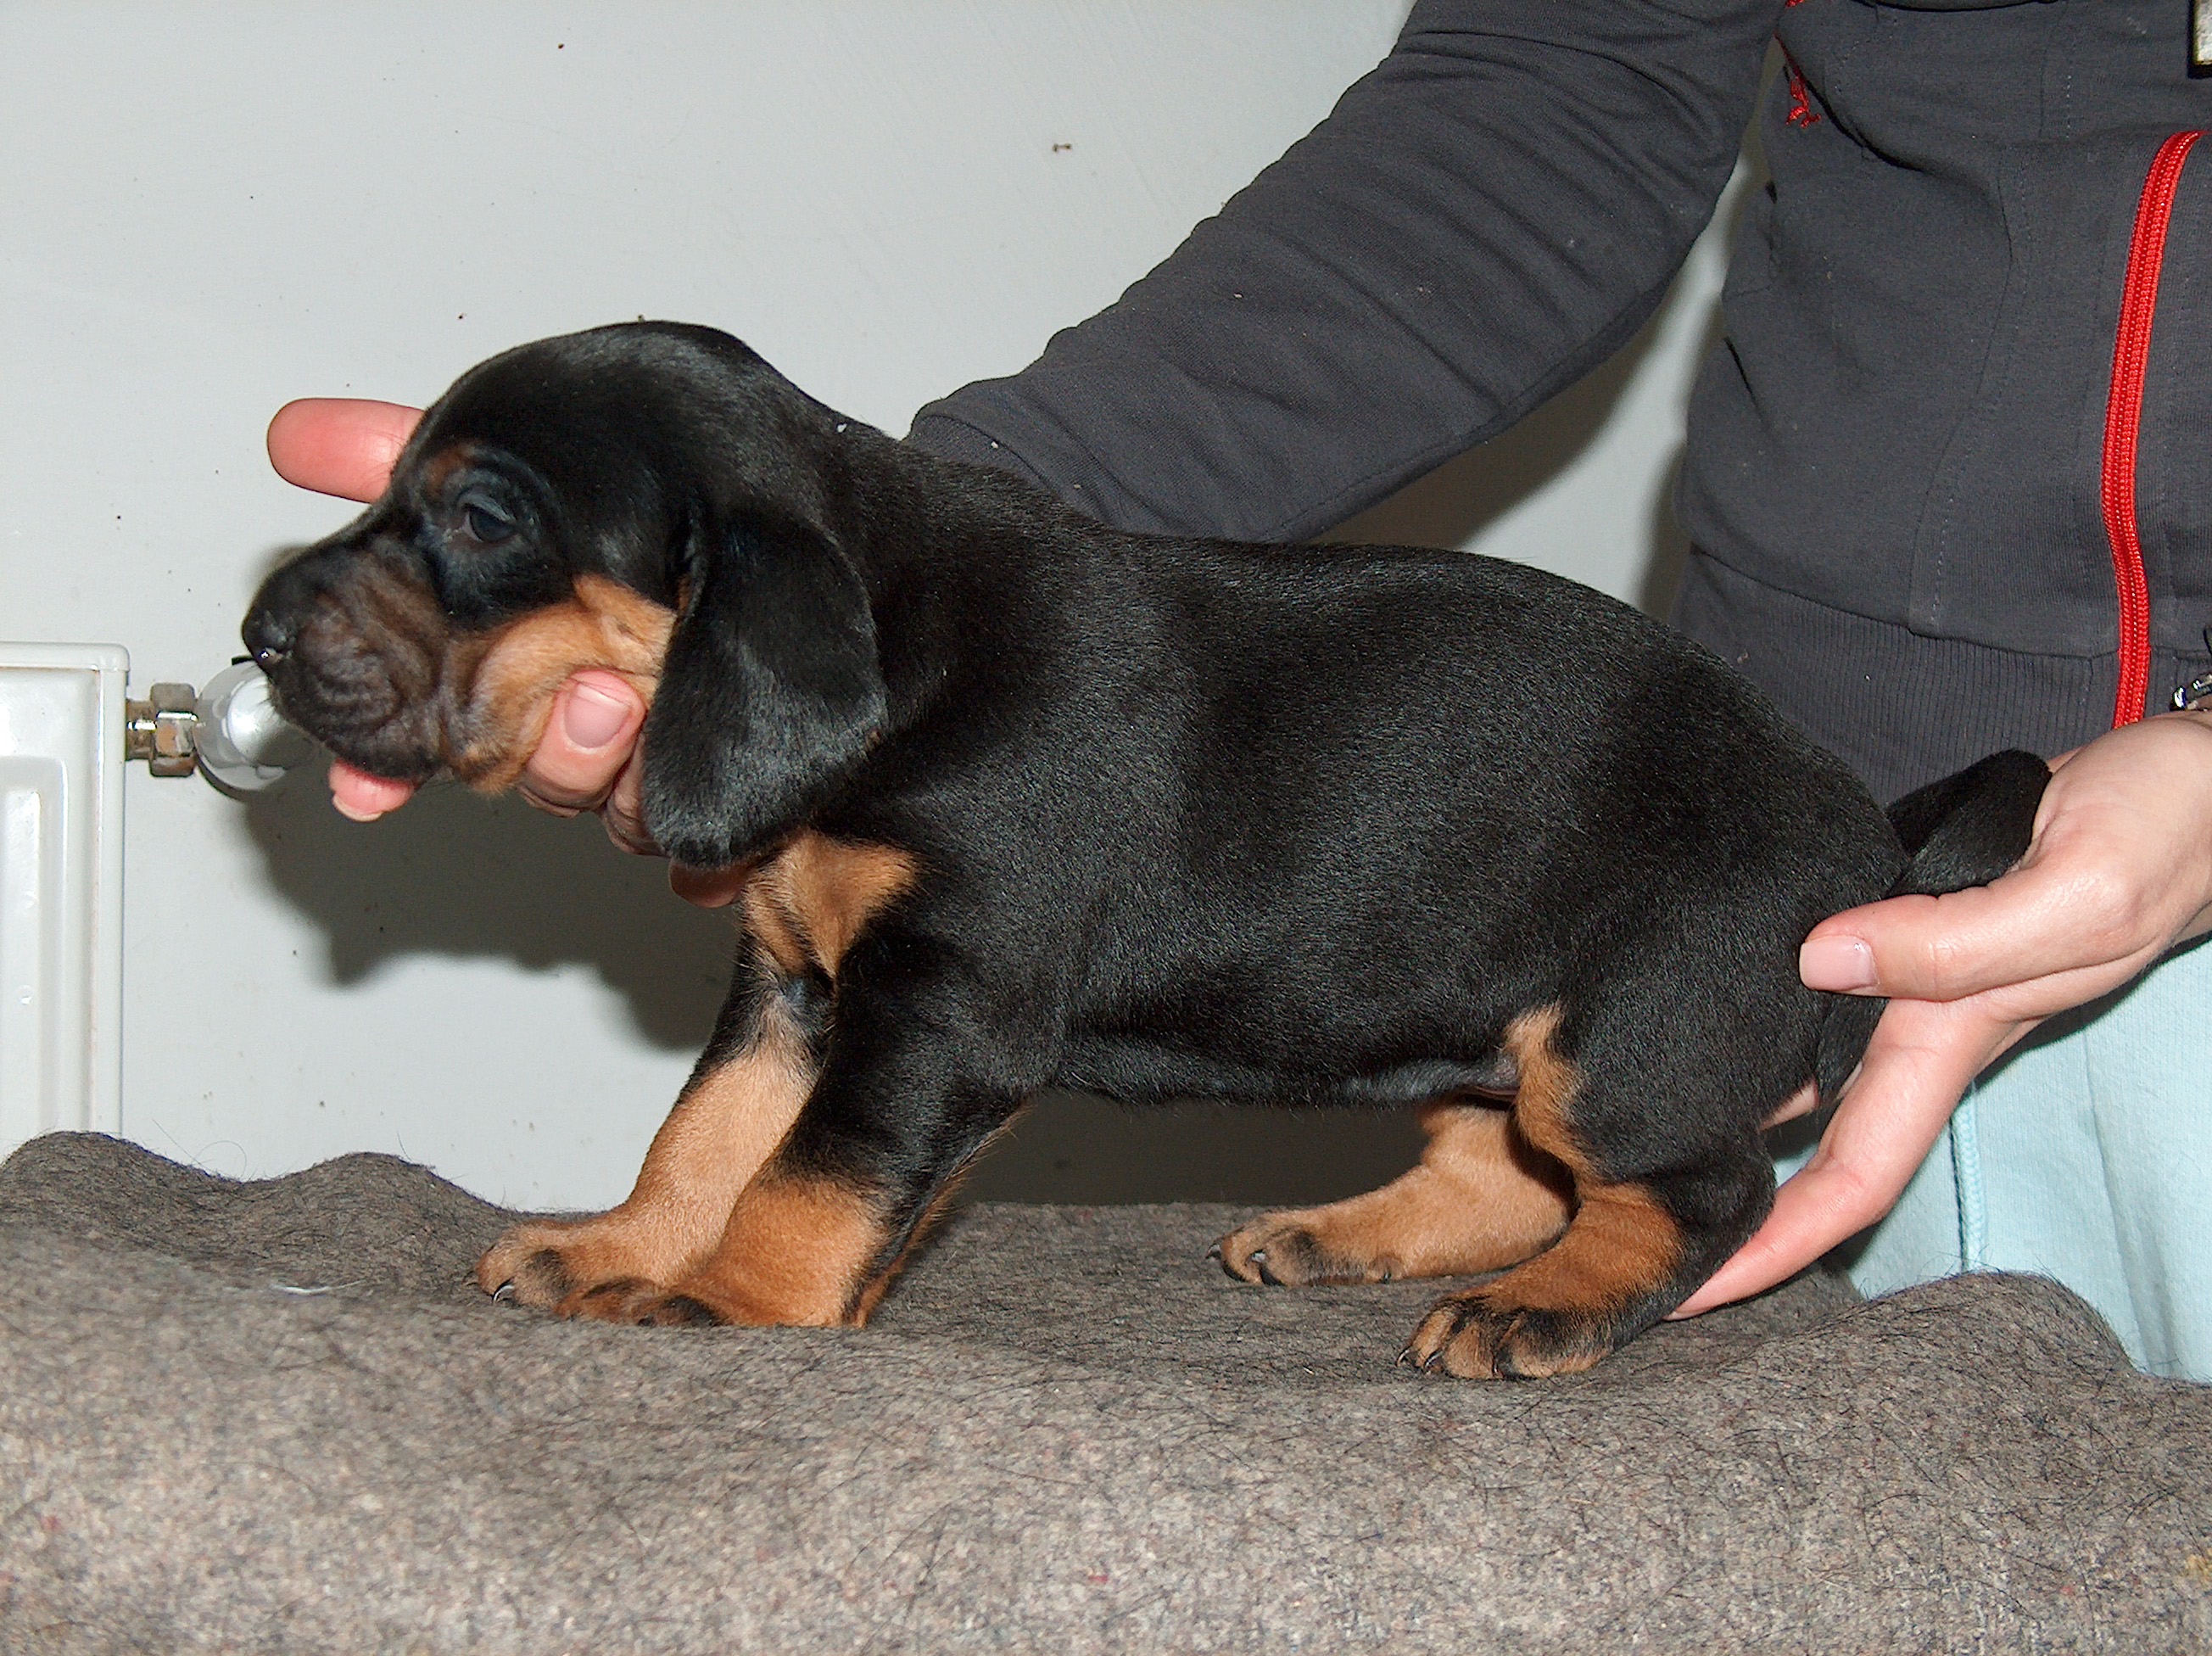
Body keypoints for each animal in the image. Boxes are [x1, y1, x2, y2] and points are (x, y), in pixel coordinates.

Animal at [237, 321, 2035, 1372]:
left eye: (480, 517)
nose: (257, 628)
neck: (902, 658)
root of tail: (1860, 833)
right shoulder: (796, 986)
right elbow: (705, 1137)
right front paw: (613, 1247)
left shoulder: (937, 1003)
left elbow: (813, 1173)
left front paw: (734, 1307)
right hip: (1495, 1023)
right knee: (1499, 1165)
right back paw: (1341, 1239)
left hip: (1628, 1035)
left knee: (1702, 1184)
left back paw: (1548, 1308)